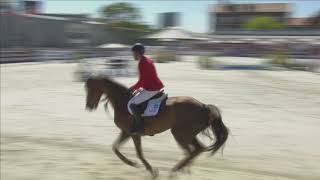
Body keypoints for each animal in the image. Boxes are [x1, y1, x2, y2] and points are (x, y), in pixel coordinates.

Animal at [85, 75, 229, 178]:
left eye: (91, 89)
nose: (89, 106)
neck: (122, 101)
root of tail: (203, 106)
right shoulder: (126, 132)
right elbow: (115, 148)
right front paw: (133, 164)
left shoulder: (131, 133)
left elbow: (138, 152)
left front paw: (149, 170)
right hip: (188, 134)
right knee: (197, 149)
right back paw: (182, 169)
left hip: (180, 134)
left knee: (191, 152)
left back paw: (175, 170)